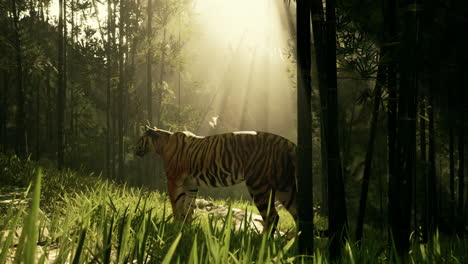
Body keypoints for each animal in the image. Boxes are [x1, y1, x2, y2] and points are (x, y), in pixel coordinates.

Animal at [134, 126, 296, 233]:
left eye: (140, 139)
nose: (133, 150)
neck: (162, 145)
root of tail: (286, 142)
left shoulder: (174, 180)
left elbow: (177, 204)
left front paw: (175, 227)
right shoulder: (190, 183)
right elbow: (188, 206)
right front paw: (186, 228)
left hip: (259, 185)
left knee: (272, 217)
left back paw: (261, 243)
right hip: (286, 189)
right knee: (297, 215)